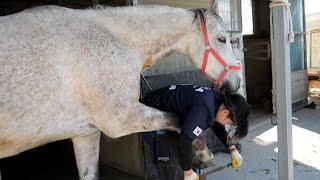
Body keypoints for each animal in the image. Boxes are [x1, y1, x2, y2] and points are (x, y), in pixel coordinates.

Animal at [0, 0, 240, 179]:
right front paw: (203, 153)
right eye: (222, 39)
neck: (114, 42)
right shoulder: (122, 119)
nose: (236, 82)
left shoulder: (85, 134)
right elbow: (177, 119)